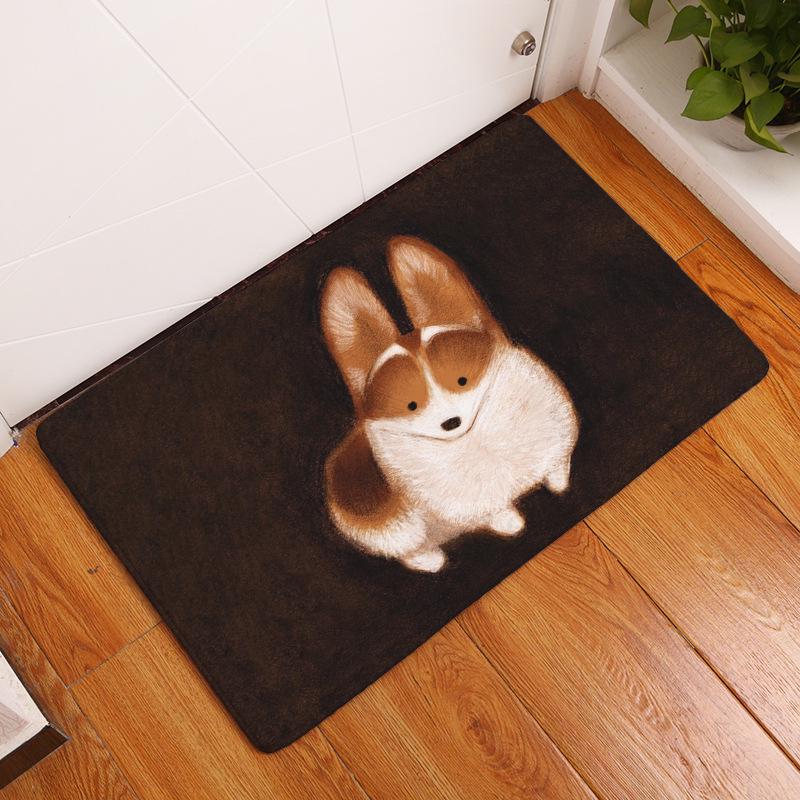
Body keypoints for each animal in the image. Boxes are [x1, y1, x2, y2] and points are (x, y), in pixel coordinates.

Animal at [320, 236, 578, 573]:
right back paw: (431, 561)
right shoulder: (468, 505)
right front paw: (511, 524)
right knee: (411, 548)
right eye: (412, 405)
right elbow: (495, 511)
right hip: (396, 531)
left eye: (461, 380)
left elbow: (557, 465)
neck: (477, 439)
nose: (451, 422)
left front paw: (560, 485)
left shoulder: (555, 439)